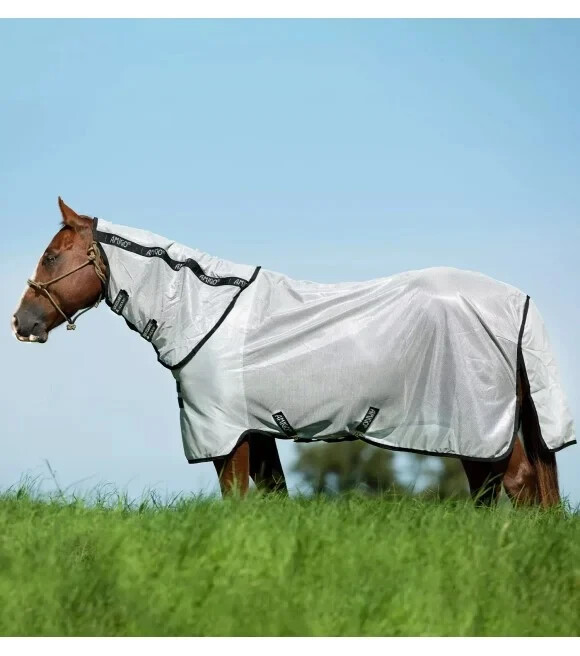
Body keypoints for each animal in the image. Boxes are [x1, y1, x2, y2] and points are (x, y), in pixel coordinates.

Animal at [12, 198, 575, 506]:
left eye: (51, 256)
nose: (22, 323)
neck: (204, 311)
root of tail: (517, 301)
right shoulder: (257, 432)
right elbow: (272, 497)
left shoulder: (227, 435)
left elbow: (236, 499)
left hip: (478, 427)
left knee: (518, 484)